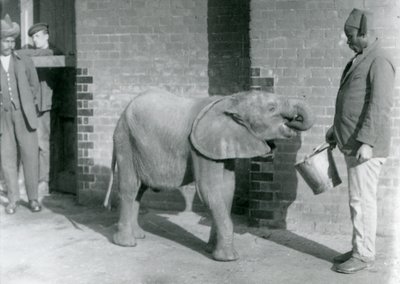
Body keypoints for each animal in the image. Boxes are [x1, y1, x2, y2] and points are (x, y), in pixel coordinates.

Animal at [104, 89, 314, 262]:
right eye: (271, 108)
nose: (295, 118)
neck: (231, 101)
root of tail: (121, 115)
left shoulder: (223, 144)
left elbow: (226, 190)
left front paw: (210, 250)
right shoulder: (199, 147)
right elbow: (209, 190)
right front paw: (228, 258)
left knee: (140, 190)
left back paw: (139, 235)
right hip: (125, 141)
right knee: (130, 187)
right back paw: (126, 243)